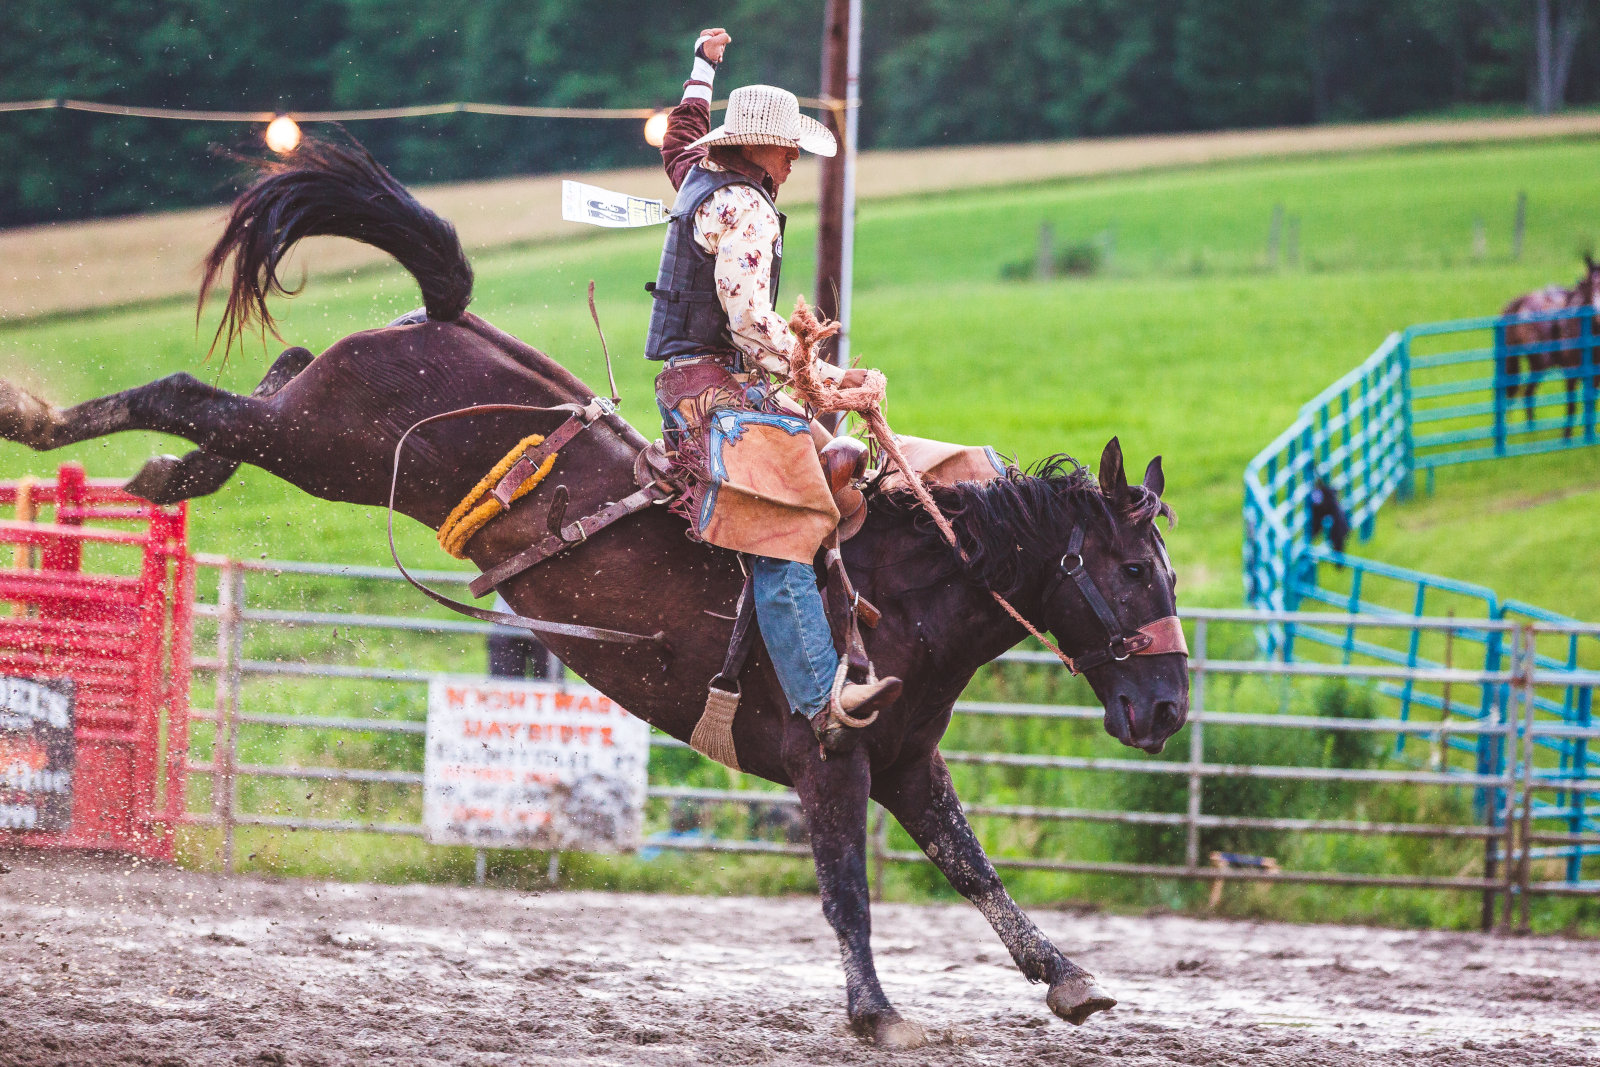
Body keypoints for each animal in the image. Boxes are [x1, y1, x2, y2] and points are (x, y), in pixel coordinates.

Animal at [0, 137, 1190, 1049]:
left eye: (1166, 571)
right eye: (1133, 570)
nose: (1170, 707)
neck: (902, 591)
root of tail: (447, 319)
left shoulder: (905, 759)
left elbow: (973, 867)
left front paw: (1070, 977)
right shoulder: (834, 755)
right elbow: (848, 886)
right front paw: (878, 1013)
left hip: (313, 432)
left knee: (265, 375)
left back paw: (165, 475)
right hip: (324, 444)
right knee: (187, 391)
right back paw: (44, 421)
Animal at [1497, 255, 1600, 438]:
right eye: (1591, 284)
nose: (1598, 313)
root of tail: (1519, 301)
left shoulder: (1595, 376)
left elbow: (1590, 404)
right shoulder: (1571, 371)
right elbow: (1572, 406)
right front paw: (1566, 437)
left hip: (1536, 365)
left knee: (1526, 393)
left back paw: (1532, 431)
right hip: (1527, 362)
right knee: (1519, 392)